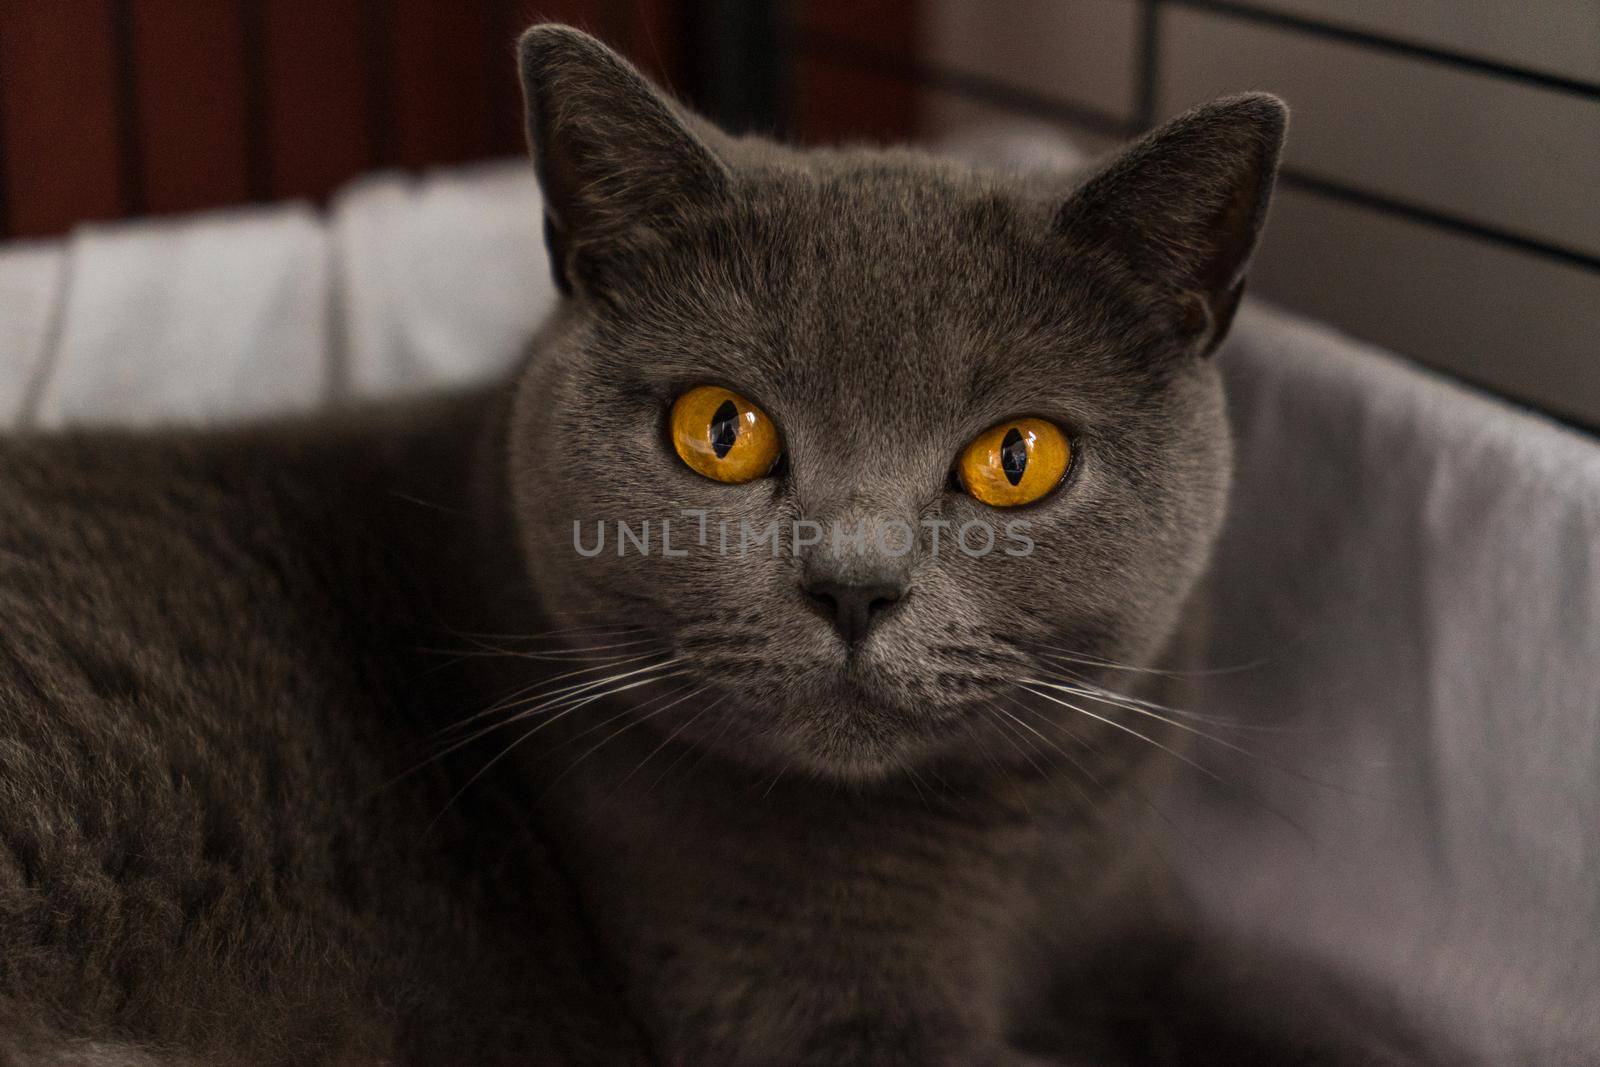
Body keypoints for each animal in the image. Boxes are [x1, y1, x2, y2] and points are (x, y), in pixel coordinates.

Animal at [0, 16, 1440, 1067]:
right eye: (720, 430)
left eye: (1016, 457)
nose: (854, 584)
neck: (1003, 872)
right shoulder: (802, 1012)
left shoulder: (1136, 921)